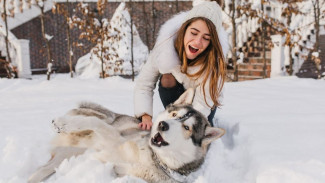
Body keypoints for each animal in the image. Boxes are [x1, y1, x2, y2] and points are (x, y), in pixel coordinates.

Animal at [29, 88, 224, 182]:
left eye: (186, 127)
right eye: (174, 114)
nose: (162, 125)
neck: (152, 157)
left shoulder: (123, 169)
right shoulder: (113, 137)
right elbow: (95, 124)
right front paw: (64, 124)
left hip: (66, 155)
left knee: (41, 170)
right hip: (98, 122)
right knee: (95, 120)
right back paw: (64, 122)